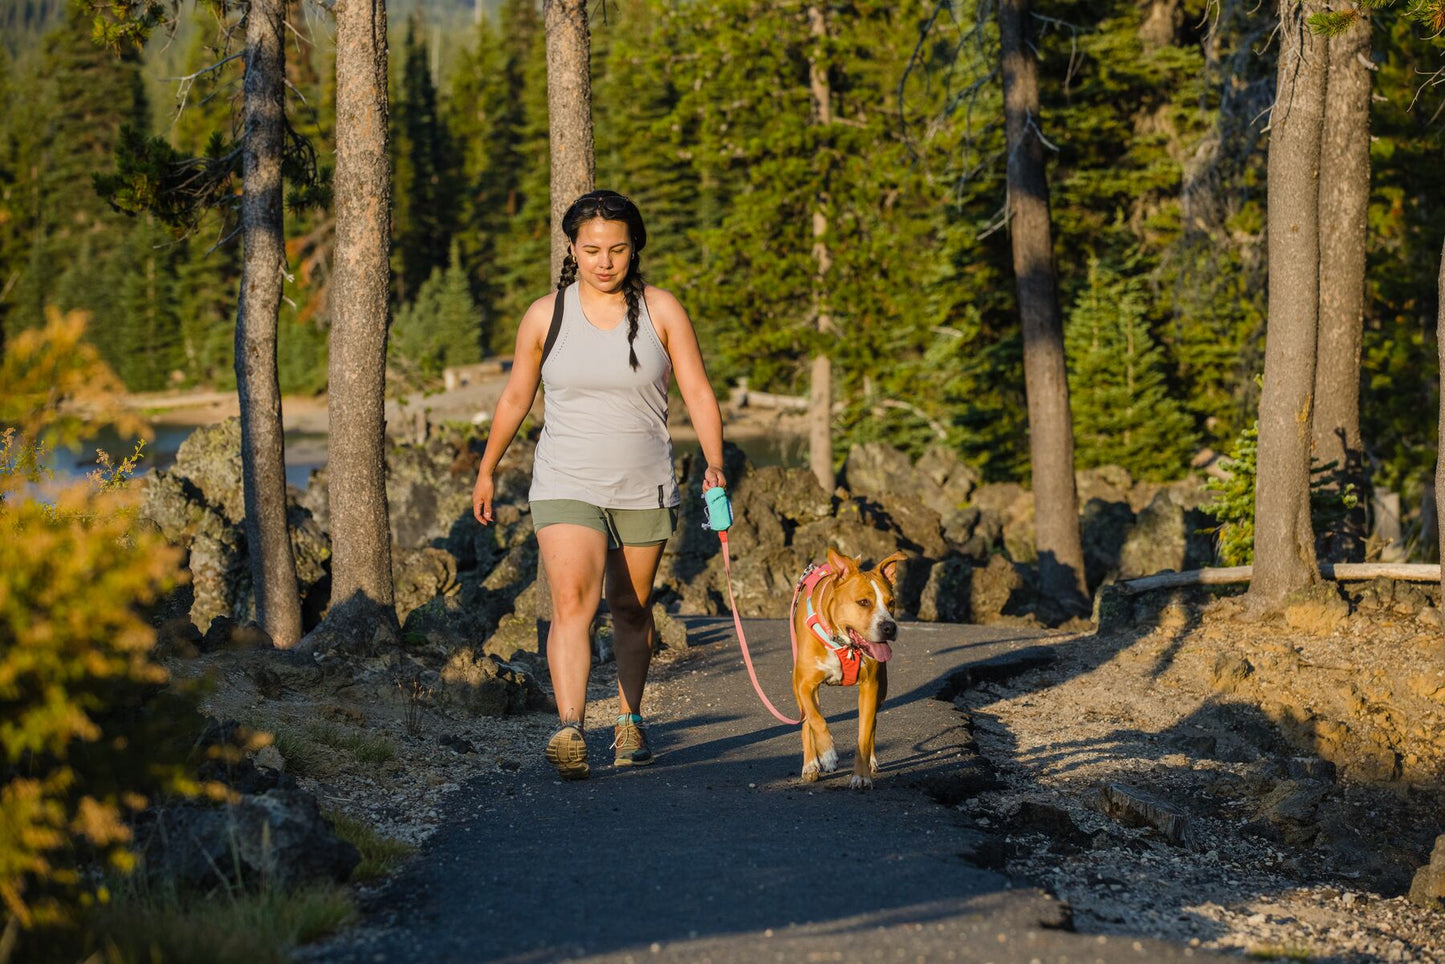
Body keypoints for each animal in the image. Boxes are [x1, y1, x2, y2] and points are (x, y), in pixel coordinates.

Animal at [791, 549, 901, 792]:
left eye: (891, 603)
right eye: (863, 602)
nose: (889, 627)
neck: (843, 643)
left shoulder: (870, 687)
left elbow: (863, 735)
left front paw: (861, 775)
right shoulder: (804, 684)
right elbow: (815, 719)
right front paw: (827, 755)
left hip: (882, 690)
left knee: (872, 724)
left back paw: (871, 761)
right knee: (807, 720)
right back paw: (811, 764)